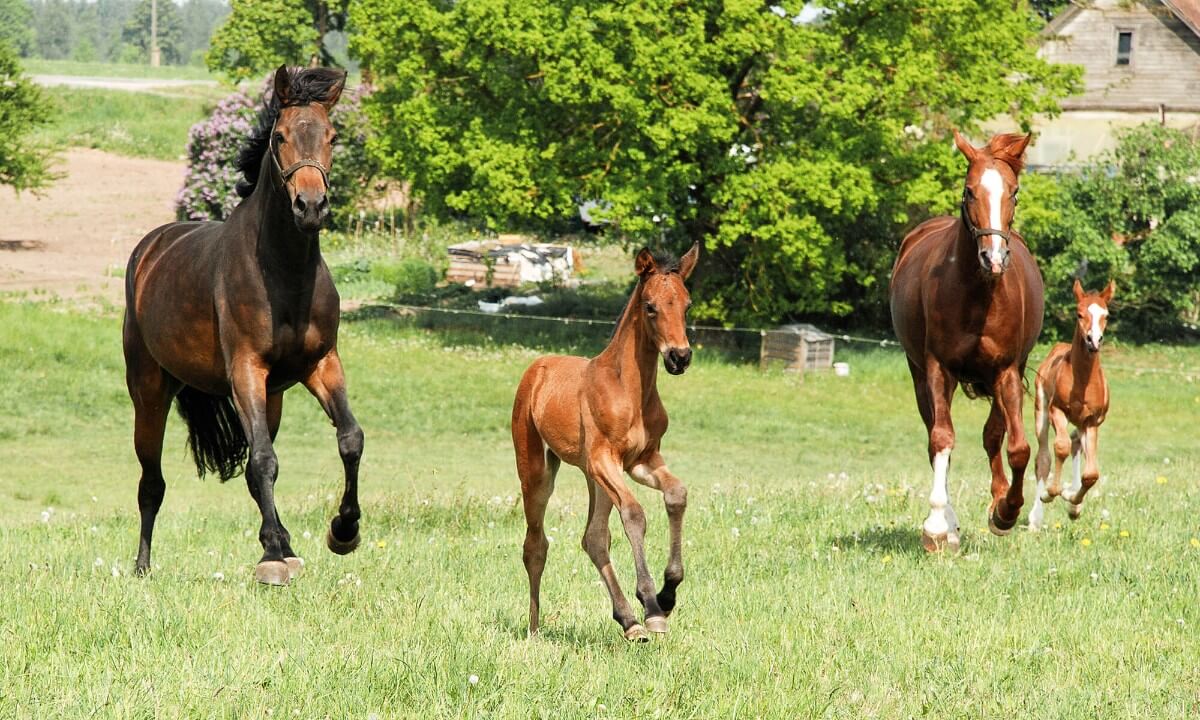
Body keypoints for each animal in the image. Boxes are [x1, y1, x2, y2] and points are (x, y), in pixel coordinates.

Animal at [125, 67, 364, 585]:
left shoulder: (321, 365)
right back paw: (142, 566)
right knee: (151, 483)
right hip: (149, 393)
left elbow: (349, 440)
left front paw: (343, 531)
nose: (310, 206)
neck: (284, 274)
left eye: (333, 136)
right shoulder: (246, 371)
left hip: (272, 398)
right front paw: (271, 557)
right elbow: (263, 462)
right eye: (279, 136)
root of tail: (151, 249)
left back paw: (288, 544)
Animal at [511, 243, 700, 643]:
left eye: (687, 305)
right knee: (535, 544)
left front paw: (667, 595)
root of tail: (537, 368)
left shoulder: (642, 460)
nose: (679, 357)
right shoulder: (606, 460)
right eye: (650, 306)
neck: (629, 389)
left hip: (593, 477)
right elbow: (635, 514)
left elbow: (677, 495)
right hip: (538, 471)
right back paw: (534, 628)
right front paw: (652, 606)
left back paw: (629, 622)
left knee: (594, 538)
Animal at [888, 132, 1046, 552]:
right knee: (935, 437)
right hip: (919, 376)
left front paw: (1006, 512)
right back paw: (950, 524)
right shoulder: (937, 369)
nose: (994, 257)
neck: (978, 292)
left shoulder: (1007, 371)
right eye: (969, 190)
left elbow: (1017, 447)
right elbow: (942, 439)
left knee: (995, 435)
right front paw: (937, 526)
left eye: (1014, 191)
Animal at [1032, 279, 1113, 528]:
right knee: (1043, 458)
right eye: (1079, 314)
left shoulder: (1092, 421)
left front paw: (1072, 501)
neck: (1083, 380)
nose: (1093, 340)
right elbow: (1060, 447)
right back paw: (1035, 517)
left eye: (1106, 315)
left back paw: (1074, 502)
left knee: (1077, 444)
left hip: (1080, 422)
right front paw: (1051, 493)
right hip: (1041, 412)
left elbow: (1091, 474)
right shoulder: (1056, 410)